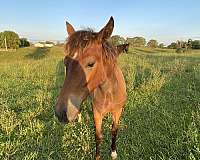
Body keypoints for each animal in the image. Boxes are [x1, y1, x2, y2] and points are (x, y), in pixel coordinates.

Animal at [54, 16, 126, 159]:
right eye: (66, 62)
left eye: (91, 64)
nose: (60, 113)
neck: (109, 92)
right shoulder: (97, 113)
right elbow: (98, 135)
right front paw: (97, 156)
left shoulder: (118, 111)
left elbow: (114, 130)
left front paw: (113, 152)